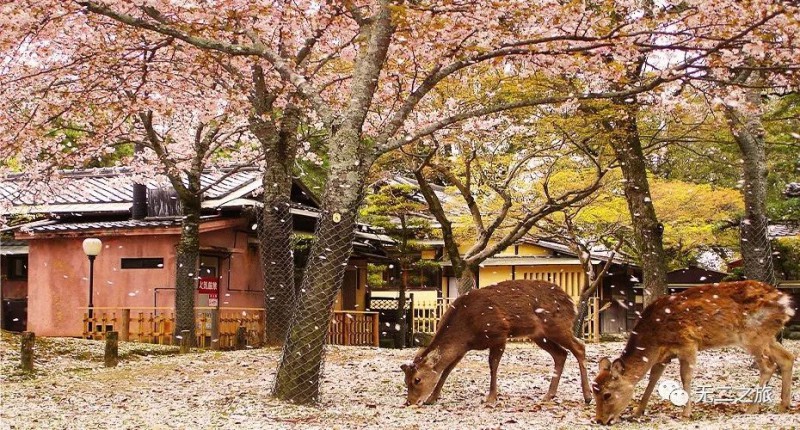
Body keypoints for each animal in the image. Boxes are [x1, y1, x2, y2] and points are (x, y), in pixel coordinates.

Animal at [400, 278, 592, 406]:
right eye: (405, 380)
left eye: (417, 379)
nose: (410, 402)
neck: (466, 330)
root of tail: (571, 302)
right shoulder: (463, 348)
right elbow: (447, 370)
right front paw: (432, 398)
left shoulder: (499, 334)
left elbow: (493, 365)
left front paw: (491, 398)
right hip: (539, 336)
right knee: (561, 354)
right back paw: (548, 396)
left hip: (557, 326)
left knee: (579, 347)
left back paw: (588, 396)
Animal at [592, 280, 792, 424]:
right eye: (594, 392)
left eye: (607, 394)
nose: (600, 420)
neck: (654, 339)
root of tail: (786, 303)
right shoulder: (663, 355)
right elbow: (653, 378)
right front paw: (637, 411)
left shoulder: (687, 343)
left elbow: (685, 377)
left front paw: (686, 413)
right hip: (767, 336)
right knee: (787, 358)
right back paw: (783, 405)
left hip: (752, 336)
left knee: (768, 366)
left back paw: (751, 409)